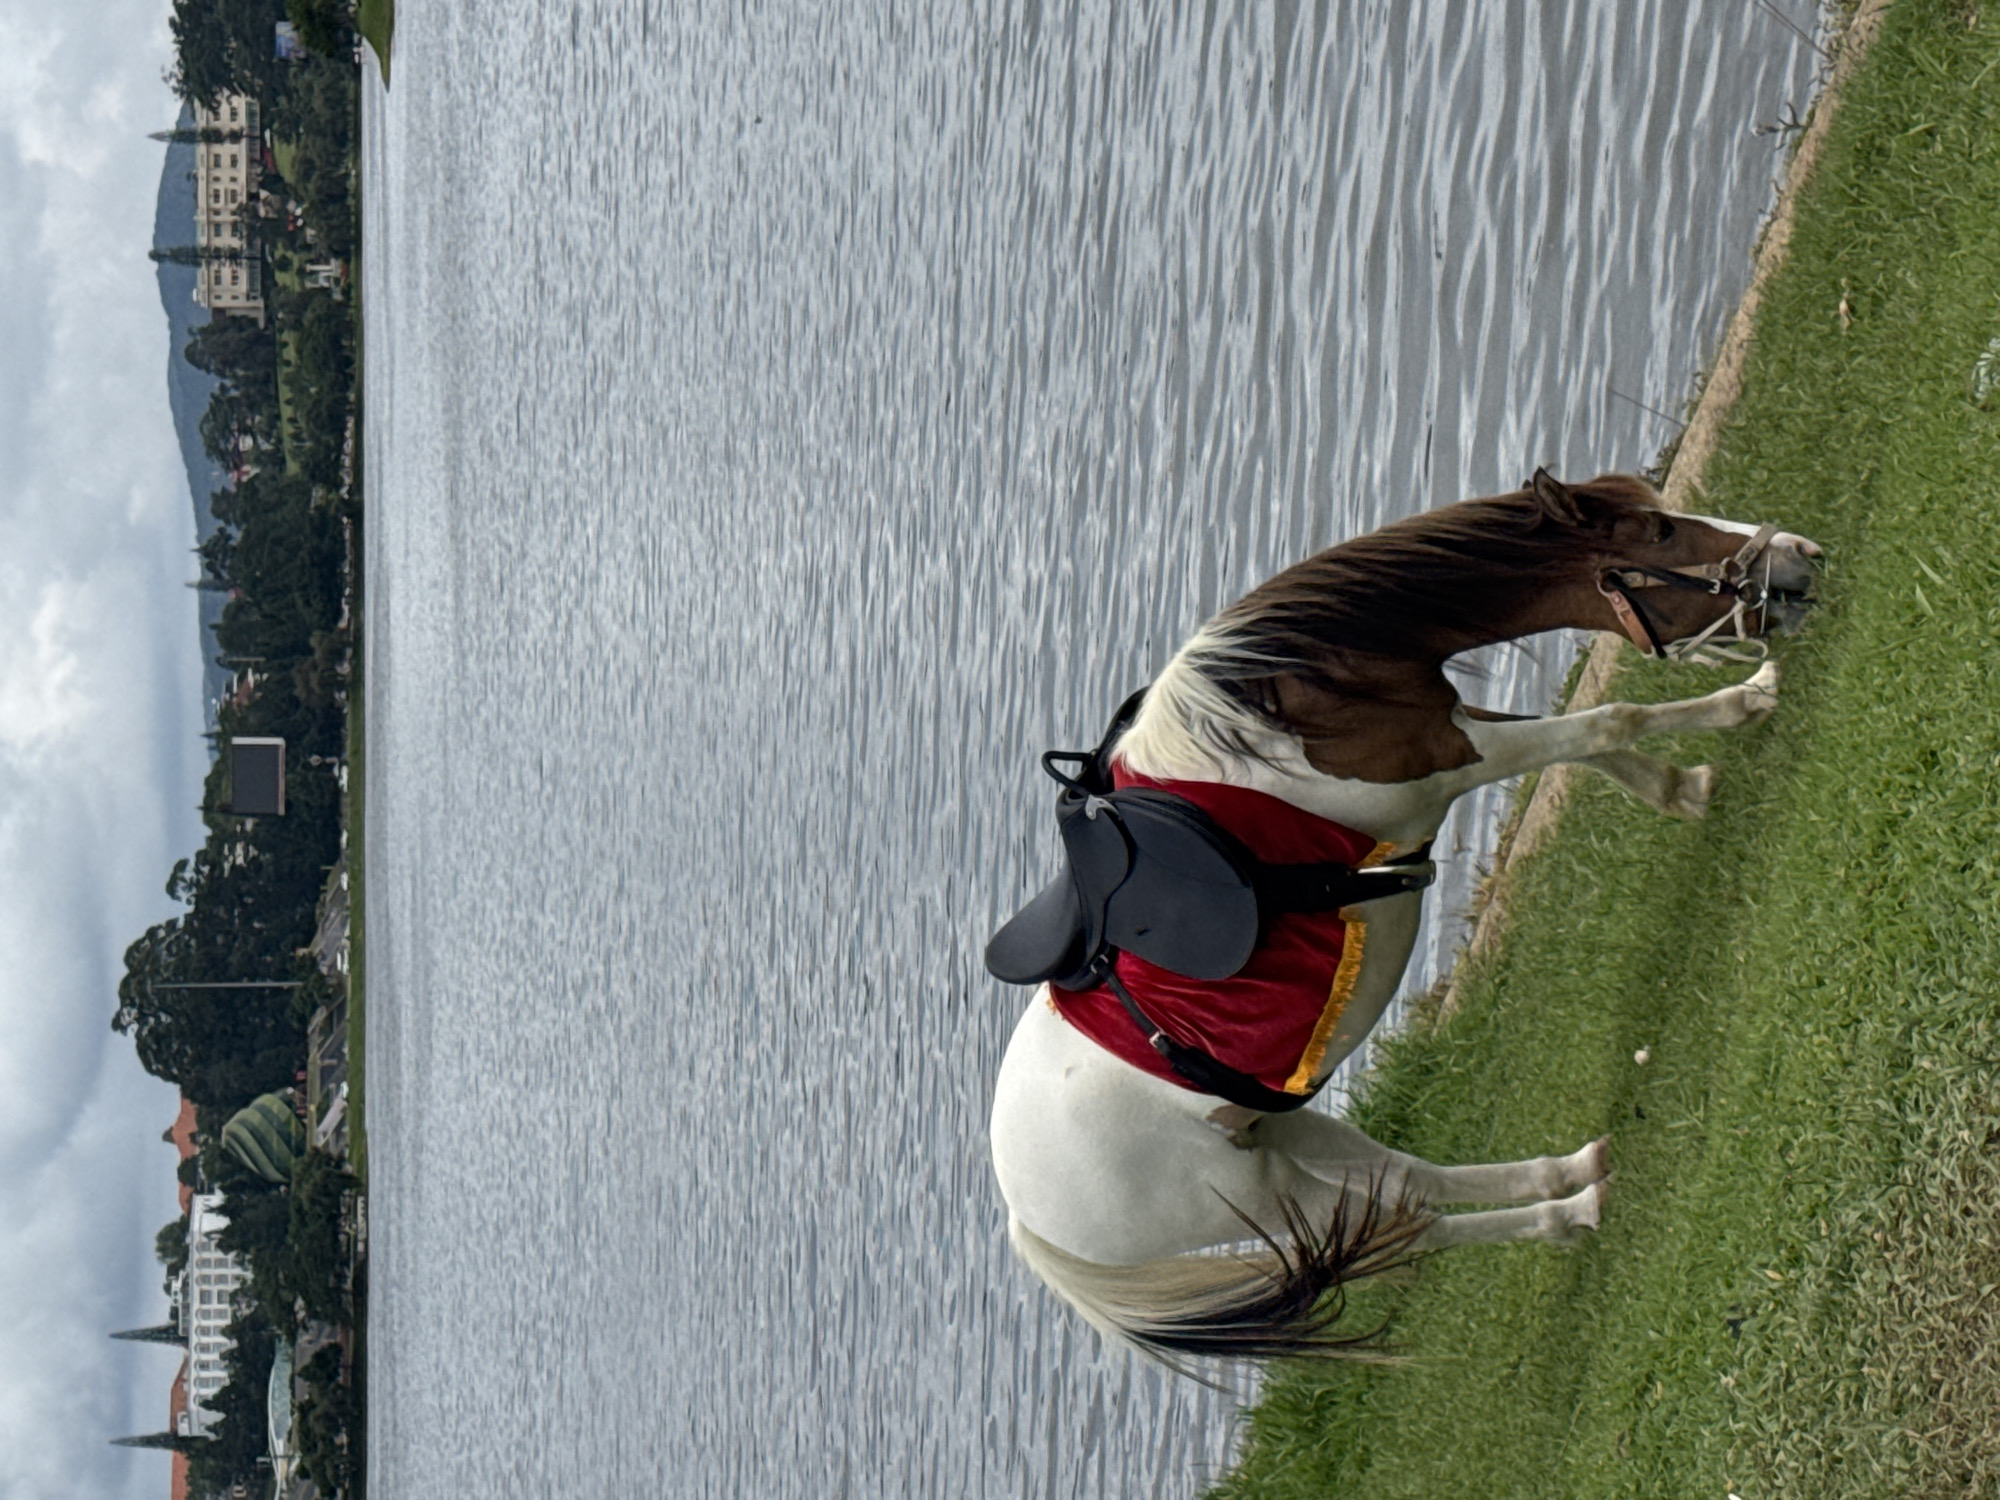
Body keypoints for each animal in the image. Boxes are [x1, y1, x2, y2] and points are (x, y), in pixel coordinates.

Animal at [987, 470, 1820, 1368]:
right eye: (1660, 535)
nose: (1800, 557)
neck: (1283, 704)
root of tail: (1028, 1222)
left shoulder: (1459, 731)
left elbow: (1594, 746)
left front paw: (1688, 779)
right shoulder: (1448, 765)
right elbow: (1608, 724)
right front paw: (1740, 708)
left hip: (1281, 1135)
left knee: (1414, 1183)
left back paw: (1568, 1175)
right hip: (1262, 1195)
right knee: (1414, 1228)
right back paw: (1570, 1214)